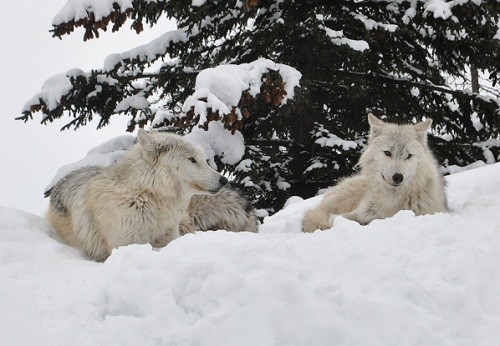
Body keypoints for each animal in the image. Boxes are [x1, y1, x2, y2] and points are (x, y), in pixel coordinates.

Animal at [45, 130, 229, 260]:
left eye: (204, 160)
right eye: (192, 160)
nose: (225, 180)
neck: (145, 195)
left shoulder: (169, 237)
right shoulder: (126, 244)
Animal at [302, 113, 448, 232]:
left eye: (409, 156)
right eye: (388, 153)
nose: (398, 177)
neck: (392, 200)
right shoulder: (361, 212)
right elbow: (335, 218)